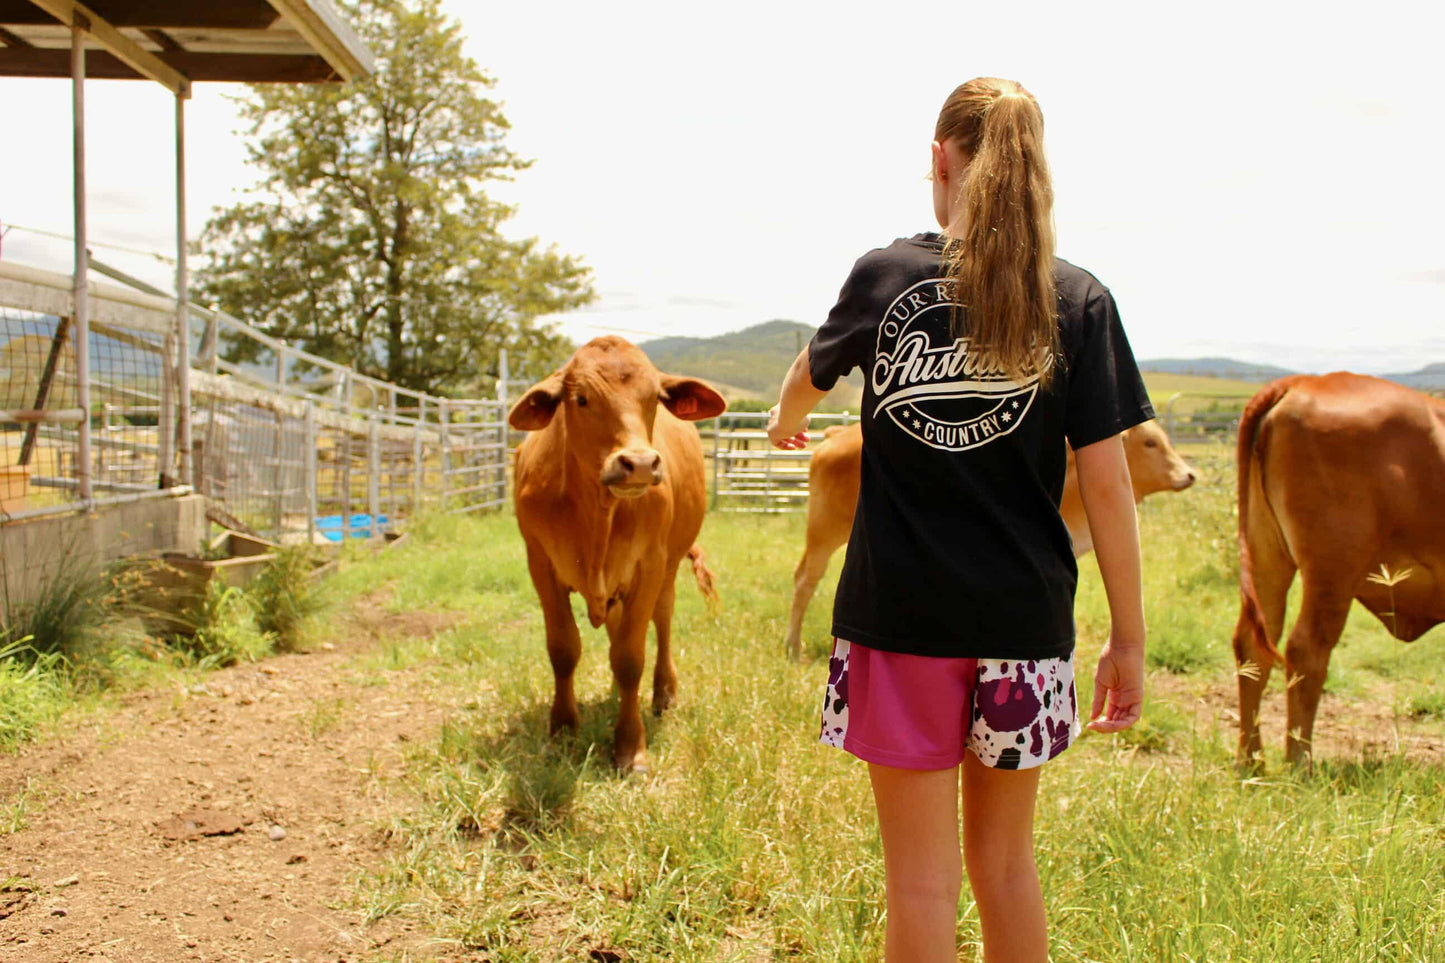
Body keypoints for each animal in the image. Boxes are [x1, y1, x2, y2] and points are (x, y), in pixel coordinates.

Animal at [509, 337, 727, 772]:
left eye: (655, 398)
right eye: (581, 398)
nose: (640, 464)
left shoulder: (649, 567)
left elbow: (630, 658)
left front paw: (630, 746)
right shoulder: (540, 564)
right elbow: (564, 649)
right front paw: (563, 729)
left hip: (668, 569)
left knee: (661, 622)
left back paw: (663, 693)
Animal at [784, 419, 1197, 659]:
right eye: (1149, 443)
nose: (1189, 474)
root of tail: (836, 434)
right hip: (823, 530)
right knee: (805, 579)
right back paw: (793, 647)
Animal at [1231, 373, 1445, 768]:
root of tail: (1304, 381)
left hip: (1266, 556)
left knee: (1252, 646)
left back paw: (1251, 759)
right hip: (1332, 572)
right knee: (1305, 650)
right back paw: (1300, 761)